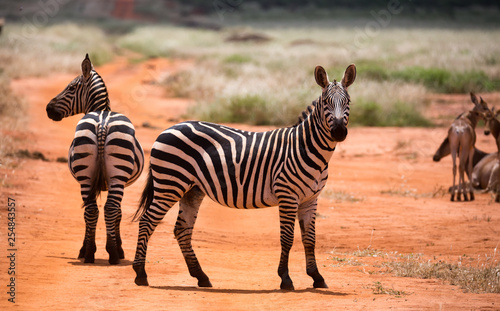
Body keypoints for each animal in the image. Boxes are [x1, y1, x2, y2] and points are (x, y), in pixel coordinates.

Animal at [45, 54, 145, 266]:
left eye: (71, 88)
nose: (48, 109)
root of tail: (102, 122)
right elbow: (116, 213)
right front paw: (116, 249)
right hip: (113, 176)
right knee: (106, 209)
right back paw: (109, 253)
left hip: (90, 177)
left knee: (94, 210)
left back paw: (94, 253)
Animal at [131, 63, 354, 290]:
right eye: (326, 102)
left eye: (348, 102)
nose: (338, 132)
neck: (306, 148)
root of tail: (168, 129)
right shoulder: (288, 195)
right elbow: (287, 238)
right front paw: (285, 278)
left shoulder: (311, 199)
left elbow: (310, 239)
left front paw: (317, 277)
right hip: (170, 183)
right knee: (147, 221)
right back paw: (140, 274)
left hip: (192, 190)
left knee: (182, 230)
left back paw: (201, 276)